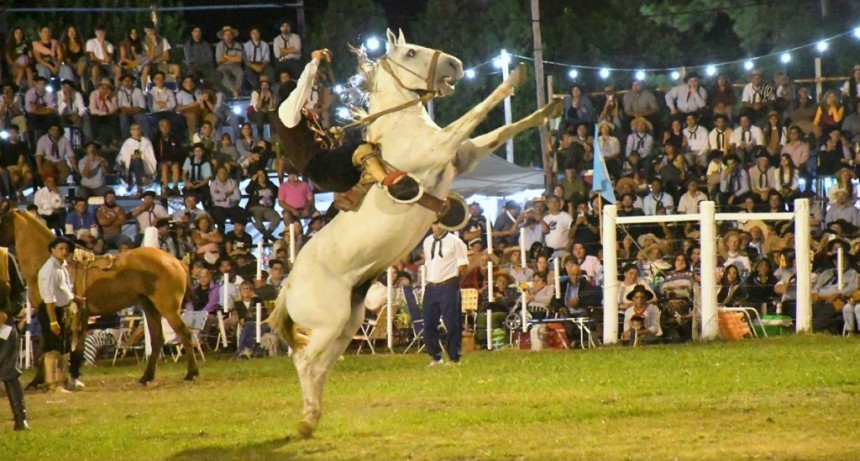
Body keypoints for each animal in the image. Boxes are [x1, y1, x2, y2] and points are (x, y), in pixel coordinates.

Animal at [0, 208, 198, 380]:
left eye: (1, 219)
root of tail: (175, 261)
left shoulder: (49, 315)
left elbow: (48, 348)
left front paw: (38, 381)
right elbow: (70, 349)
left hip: (168, 309)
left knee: (184, 334)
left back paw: (191, 373)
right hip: (150, 307)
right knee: (158, 339)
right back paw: (146, 377)